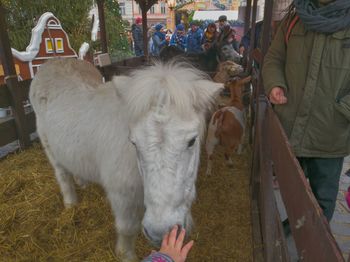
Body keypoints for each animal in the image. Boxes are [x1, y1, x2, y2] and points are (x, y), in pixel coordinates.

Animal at [30, 58, 221, 260]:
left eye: (192, 141)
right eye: (134, 142)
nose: (159, 233)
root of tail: (55, 61)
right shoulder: (121, 195)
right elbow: (127, 228)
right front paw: (125, 255)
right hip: (48, 145)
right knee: (63, 175)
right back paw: (70, 204)